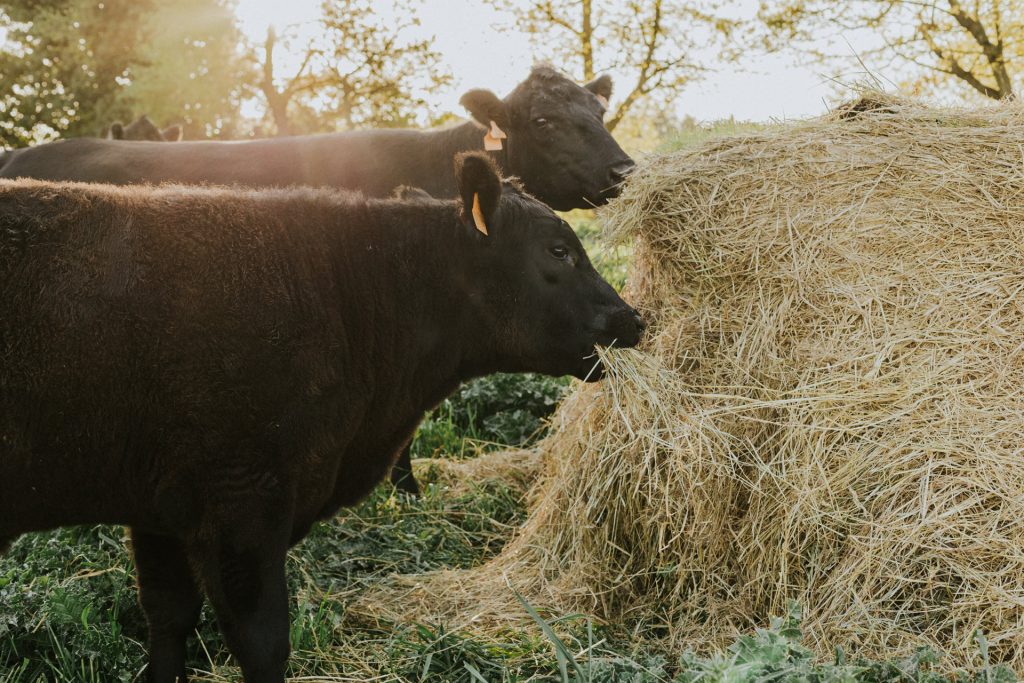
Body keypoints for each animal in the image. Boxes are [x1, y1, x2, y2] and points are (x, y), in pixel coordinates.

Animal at [0, 152, 645, 682]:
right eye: (558, 251)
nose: (634, 319)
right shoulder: (243, 502)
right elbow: (262, 642)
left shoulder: (157, 508)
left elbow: (168, 617)